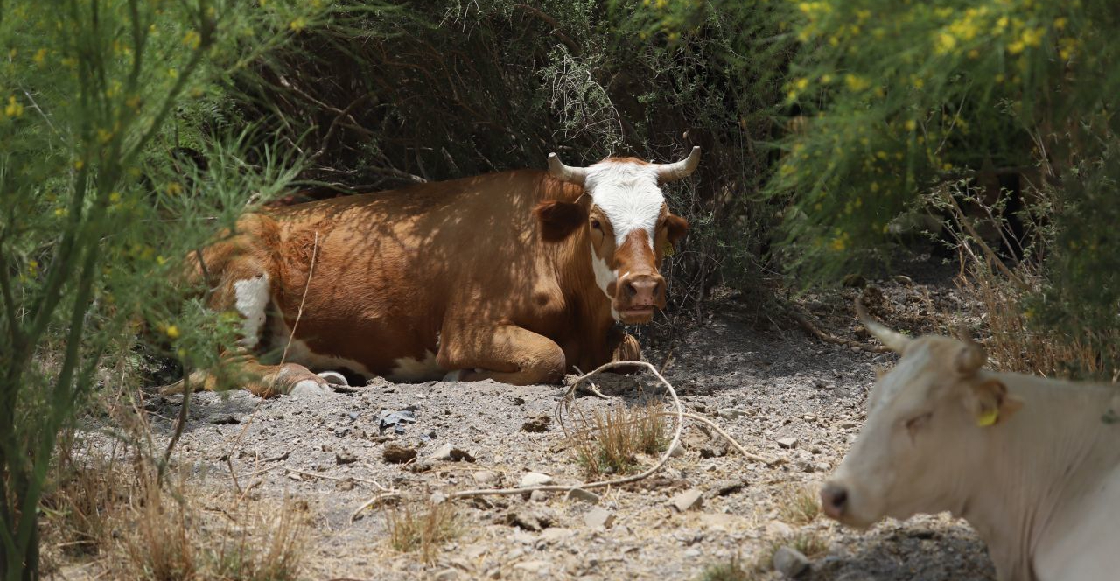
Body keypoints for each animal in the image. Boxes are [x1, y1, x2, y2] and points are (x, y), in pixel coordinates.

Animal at [170, 148, 694, 396]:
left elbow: (630, 349)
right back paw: (305, 381)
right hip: (246, 273)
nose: (641, 287)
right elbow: (549, 356)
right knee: (219, 367)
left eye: (662, 221)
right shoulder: (465, 328)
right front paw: (463, 376)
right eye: (596, 222)